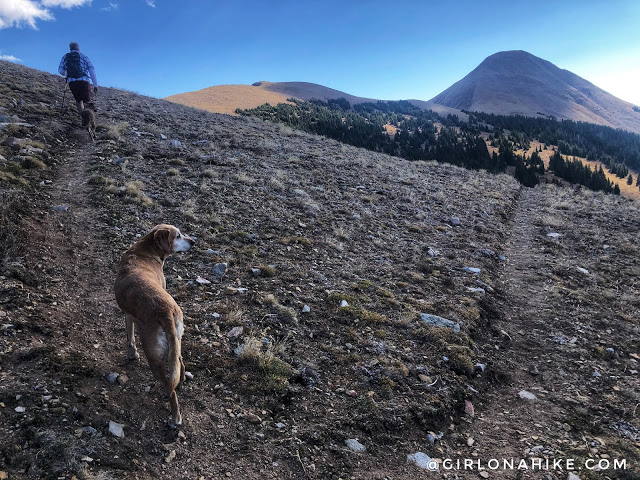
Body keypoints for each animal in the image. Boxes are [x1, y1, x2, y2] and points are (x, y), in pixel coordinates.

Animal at [114, 224, 195, 428]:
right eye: (178, 235)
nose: (193, 242)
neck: (145, 252)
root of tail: (166, 312)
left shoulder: (127, 315)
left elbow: (129, 336)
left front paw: (132, 355)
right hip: (176, 339)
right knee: (179, 362)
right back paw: (182, 380)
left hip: (153, 354)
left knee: (170, 390)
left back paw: (175, 419)